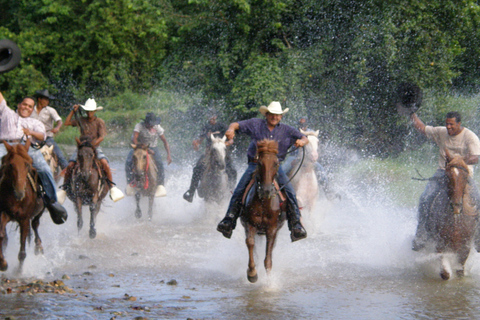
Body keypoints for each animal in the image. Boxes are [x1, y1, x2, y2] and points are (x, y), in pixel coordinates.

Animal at [0, 140, 44, 272]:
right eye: (10, 165)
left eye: (27, 164)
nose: (20, 192)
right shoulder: (4, 213)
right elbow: (1, 235)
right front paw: (3, 263)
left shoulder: (24, 219)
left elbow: (22, 251)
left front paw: (18, 271)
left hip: (39, 211)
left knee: (35, 224)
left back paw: (39, 246)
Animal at [242, 140, 286, 282]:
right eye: (260, 163)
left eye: (276, 163)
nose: (266, 190)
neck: (263, 203)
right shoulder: (250, 224)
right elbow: (250, 243)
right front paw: (252, 273)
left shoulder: (272, 229)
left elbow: (268, 257)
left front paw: (269, 282)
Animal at [426, 150, 478, 280]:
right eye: (448, 176)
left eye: (465, 177)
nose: (456, 206)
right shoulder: (440, 245)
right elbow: (445, 273)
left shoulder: (465, 248)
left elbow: (460, 272)